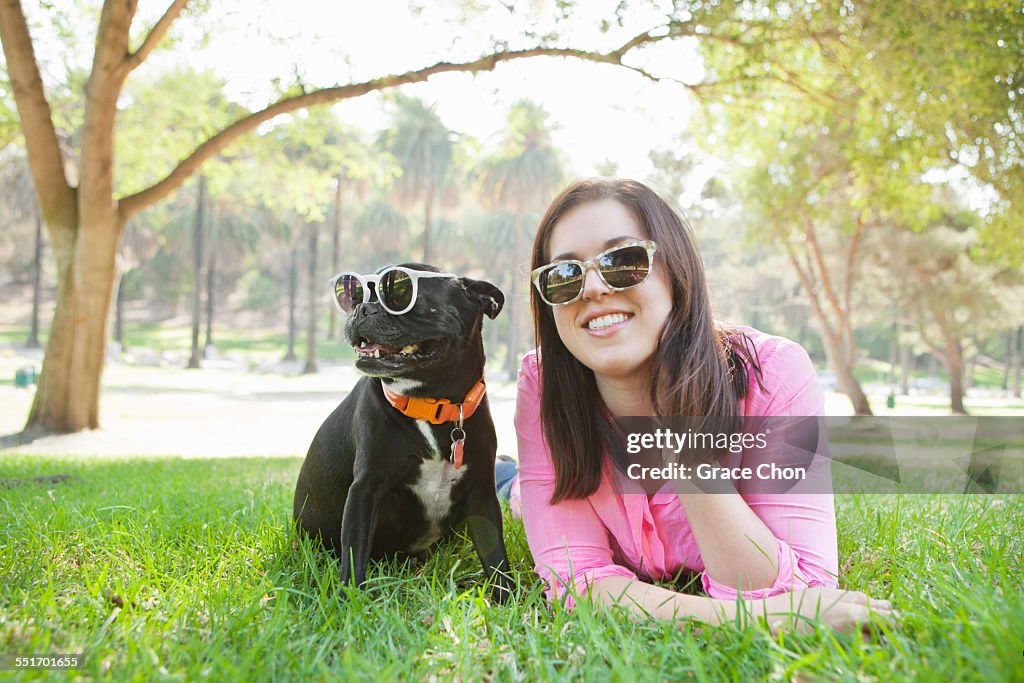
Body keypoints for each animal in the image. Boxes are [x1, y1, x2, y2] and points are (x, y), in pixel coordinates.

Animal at [292, 264, 512, 602]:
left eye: (400, 293)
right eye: (355, 295)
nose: (361, 309)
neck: (432, 406)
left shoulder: (481, 493)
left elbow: (495, 556)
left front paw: (511, 599)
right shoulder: (366, 489)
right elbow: (354, 554)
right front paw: (349, 603)